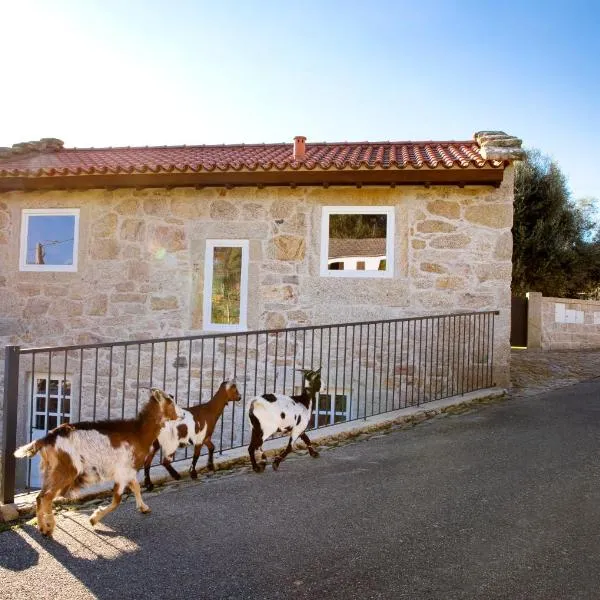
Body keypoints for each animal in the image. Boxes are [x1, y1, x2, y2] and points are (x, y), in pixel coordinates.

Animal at [14, 390, 180, 540]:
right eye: (171, 402)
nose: (182, 415)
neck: (139, 432)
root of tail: (47, 439)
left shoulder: (128, 470)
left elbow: (136, 487)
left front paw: (144, 508)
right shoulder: (122, 471)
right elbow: (117, 500)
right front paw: (94, 519)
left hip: (51, 471)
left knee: (40, 497)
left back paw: (42, 527)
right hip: (65, 471)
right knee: (47, 497)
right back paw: (49, 528)